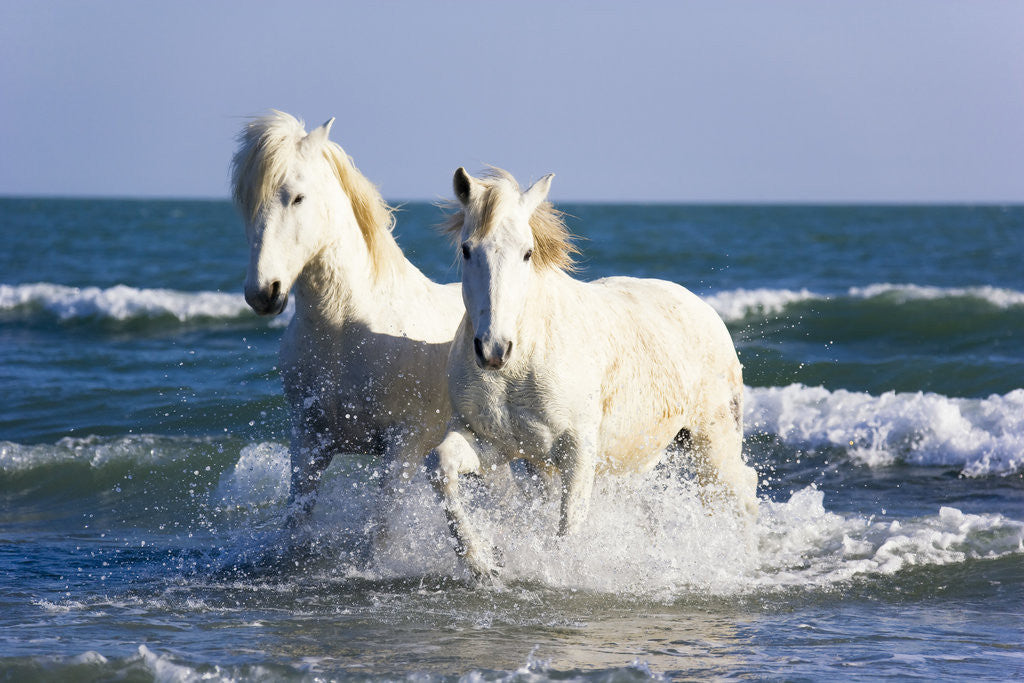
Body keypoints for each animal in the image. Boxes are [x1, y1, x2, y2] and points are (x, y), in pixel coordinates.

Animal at [230, 111, 463, 527]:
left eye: (298, 197)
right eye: (247, 203)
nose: (263, 292)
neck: (345, 330)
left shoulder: (403, 448)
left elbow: (380, 532)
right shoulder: (308, 443)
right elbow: (295, 526)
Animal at [426, 167, 759, 579]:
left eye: (527, 252)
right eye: (467, 249)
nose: (493, 349)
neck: (521, 366)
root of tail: (703, 308)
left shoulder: (577, 450)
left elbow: (570, 524)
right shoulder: (491, 444)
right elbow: (441, 467)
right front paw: (481, 562)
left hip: (712, 442)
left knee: (739, 493)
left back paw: (746, 560)